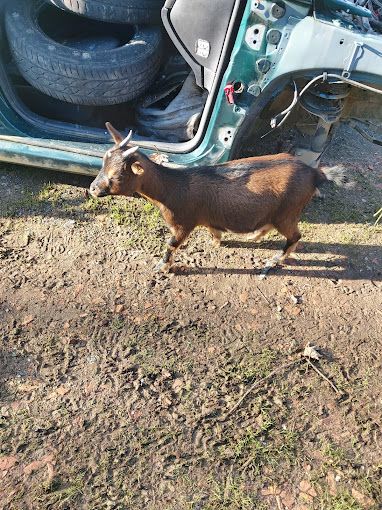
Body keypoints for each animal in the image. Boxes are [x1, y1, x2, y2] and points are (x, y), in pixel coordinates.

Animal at [89, 122, 328, 276]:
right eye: (102, 164)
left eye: (116, 175)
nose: (92, 189)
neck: (172, 186)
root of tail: (314, 173)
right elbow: (213, 228)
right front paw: (216, 240)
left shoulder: (183, 224)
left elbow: (171, 244)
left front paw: (162, 268)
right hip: (278, 213)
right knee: (269, 225)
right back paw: (253, 236)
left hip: (288, 212)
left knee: (295, 236)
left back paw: (277, 259)